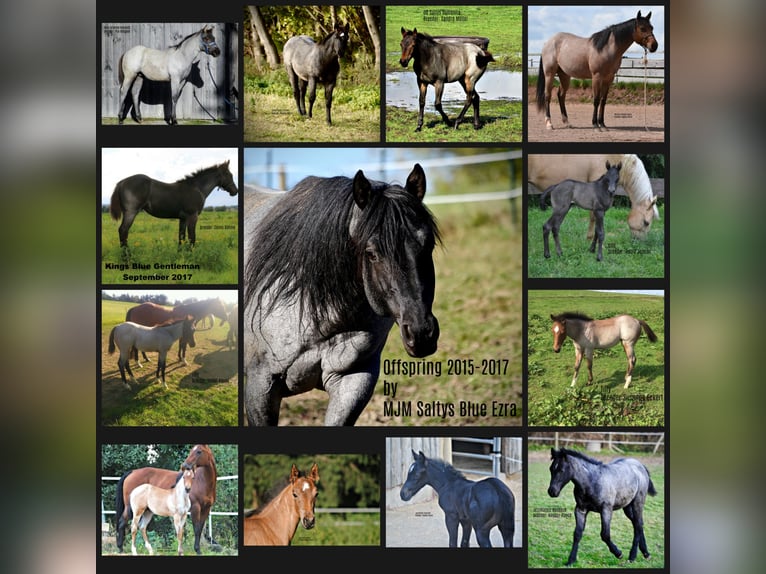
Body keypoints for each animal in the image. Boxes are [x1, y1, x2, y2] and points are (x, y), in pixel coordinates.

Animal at [110, 160, 238, 249]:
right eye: (229, 175)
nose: (235, 191)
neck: (196, 188)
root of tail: (121, 182)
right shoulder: (193, 216)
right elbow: (192, 237)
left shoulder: (183, 218)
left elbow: (181, 237)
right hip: (131, 212)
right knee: (123, 230)